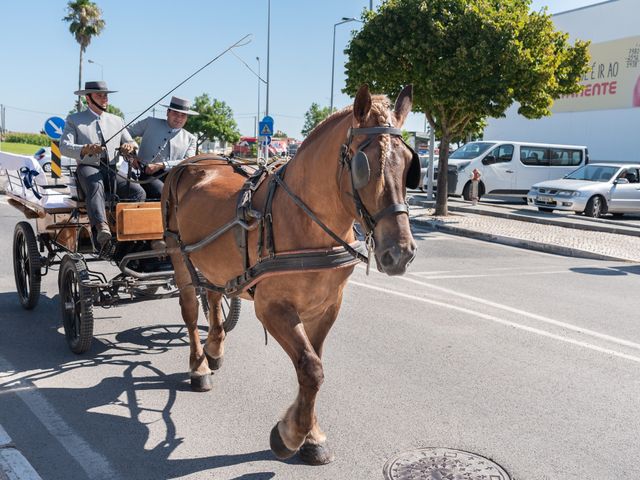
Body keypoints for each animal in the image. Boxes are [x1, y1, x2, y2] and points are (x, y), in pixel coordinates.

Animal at [160, 83, 420, 464]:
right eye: (364, 165)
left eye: (408, 166)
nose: (400, 253)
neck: (305, 221)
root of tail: (192, 162)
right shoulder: (272, 309)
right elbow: (311, 369)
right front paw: (291, 435)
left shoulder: (327, 306)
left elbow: (313, 363)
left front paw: (311, 435)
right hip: (179, 255)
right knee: (192, 310)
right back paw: (199, 366)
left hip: (210, 261)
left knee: (213, 294)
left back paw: (215, 348)